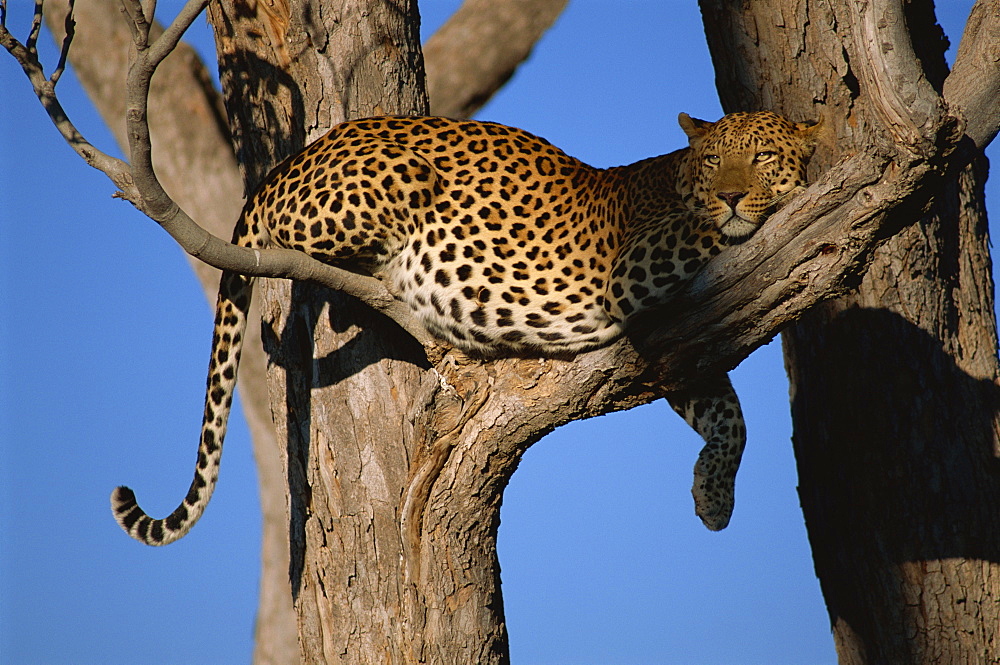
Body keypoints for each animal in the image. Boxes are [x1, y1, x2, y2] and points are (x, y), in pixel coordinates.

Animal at [109, 110, 820, 544]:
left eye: (762, 156)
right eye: (715, 163)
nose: (731, 195)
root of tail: (289, 161)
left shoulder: (678, 342)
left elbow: (731, 417)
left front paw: (714, 498)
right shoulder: (635, 265)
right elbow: (712, 234)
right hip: (396, 178)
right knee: (291, 243)